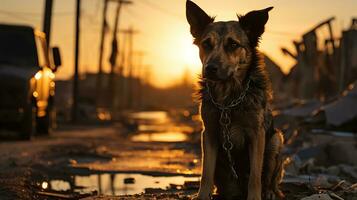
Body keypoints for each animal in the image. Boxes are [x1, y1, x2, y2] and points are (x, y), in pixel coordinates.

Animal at [186, 0, 284, 199]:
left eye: (232, 44)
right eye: (206, 44)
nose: (210, 68)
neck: (228, 100)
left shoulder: (257, 135)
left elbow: (255, 176)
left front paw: (255, 197)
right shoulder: (209, 134)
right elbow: (205, 173)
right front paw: (202, 195)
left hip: (276, 140)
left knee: (270, 180)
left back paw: (270, 192)